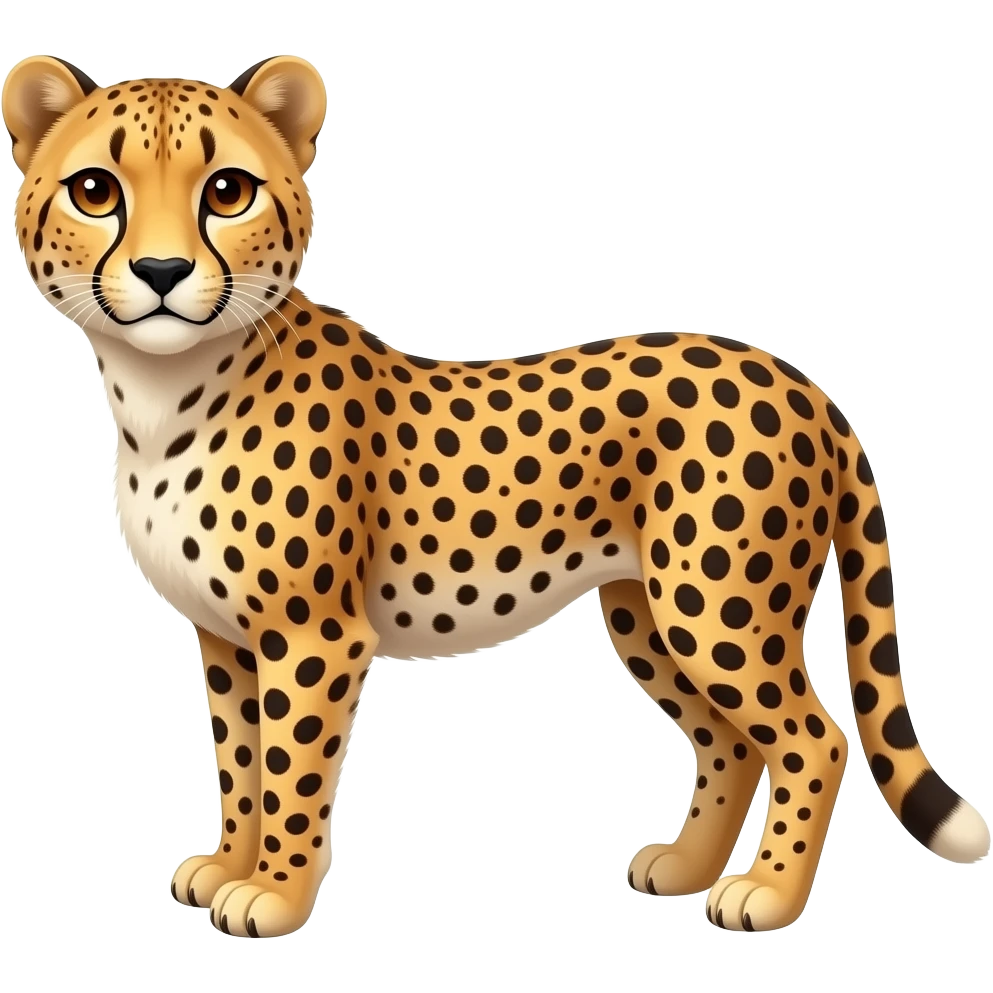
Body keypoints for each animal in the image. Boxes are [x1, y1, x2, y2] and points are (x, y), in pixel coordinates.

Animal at [4, 53, 988, 938]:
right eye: (95, 191)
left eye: (228, 191)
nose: (163, 273)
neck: (163, 391)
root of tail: (795, 377)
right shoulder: (226, 637)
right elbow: (240, 764)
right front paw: (226, 866)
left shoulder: (312, 636)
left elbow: (289, 773)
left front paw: (274, 895)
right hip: (648, 611)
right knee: (733, 741)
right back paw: (686, 867)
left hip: (718, 608)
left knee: (815, 736)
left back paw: (766, 895)